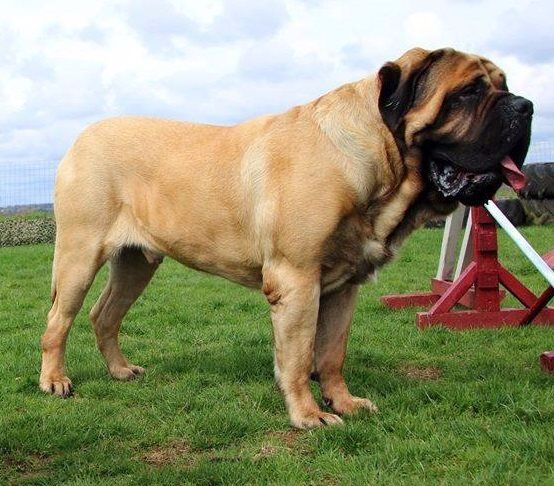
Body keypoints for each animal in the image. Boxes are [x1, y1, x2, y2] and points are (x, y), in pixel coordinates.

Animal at [40, 47, 533, 429]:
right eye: (468, 92)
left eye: (503, 83)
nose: (526, 106)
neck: (371, 162)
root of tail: (80, 138)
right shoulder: (296, 280)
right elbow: (297, 357)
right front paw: (308, 415)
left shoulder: (343, 287)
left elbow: (331, 353)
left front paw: (344, 402)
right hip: (79, 255)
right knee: (59, 320)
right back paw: (55, 380)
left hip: (137, 262)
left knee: (104, 315)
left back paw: (121, 371)